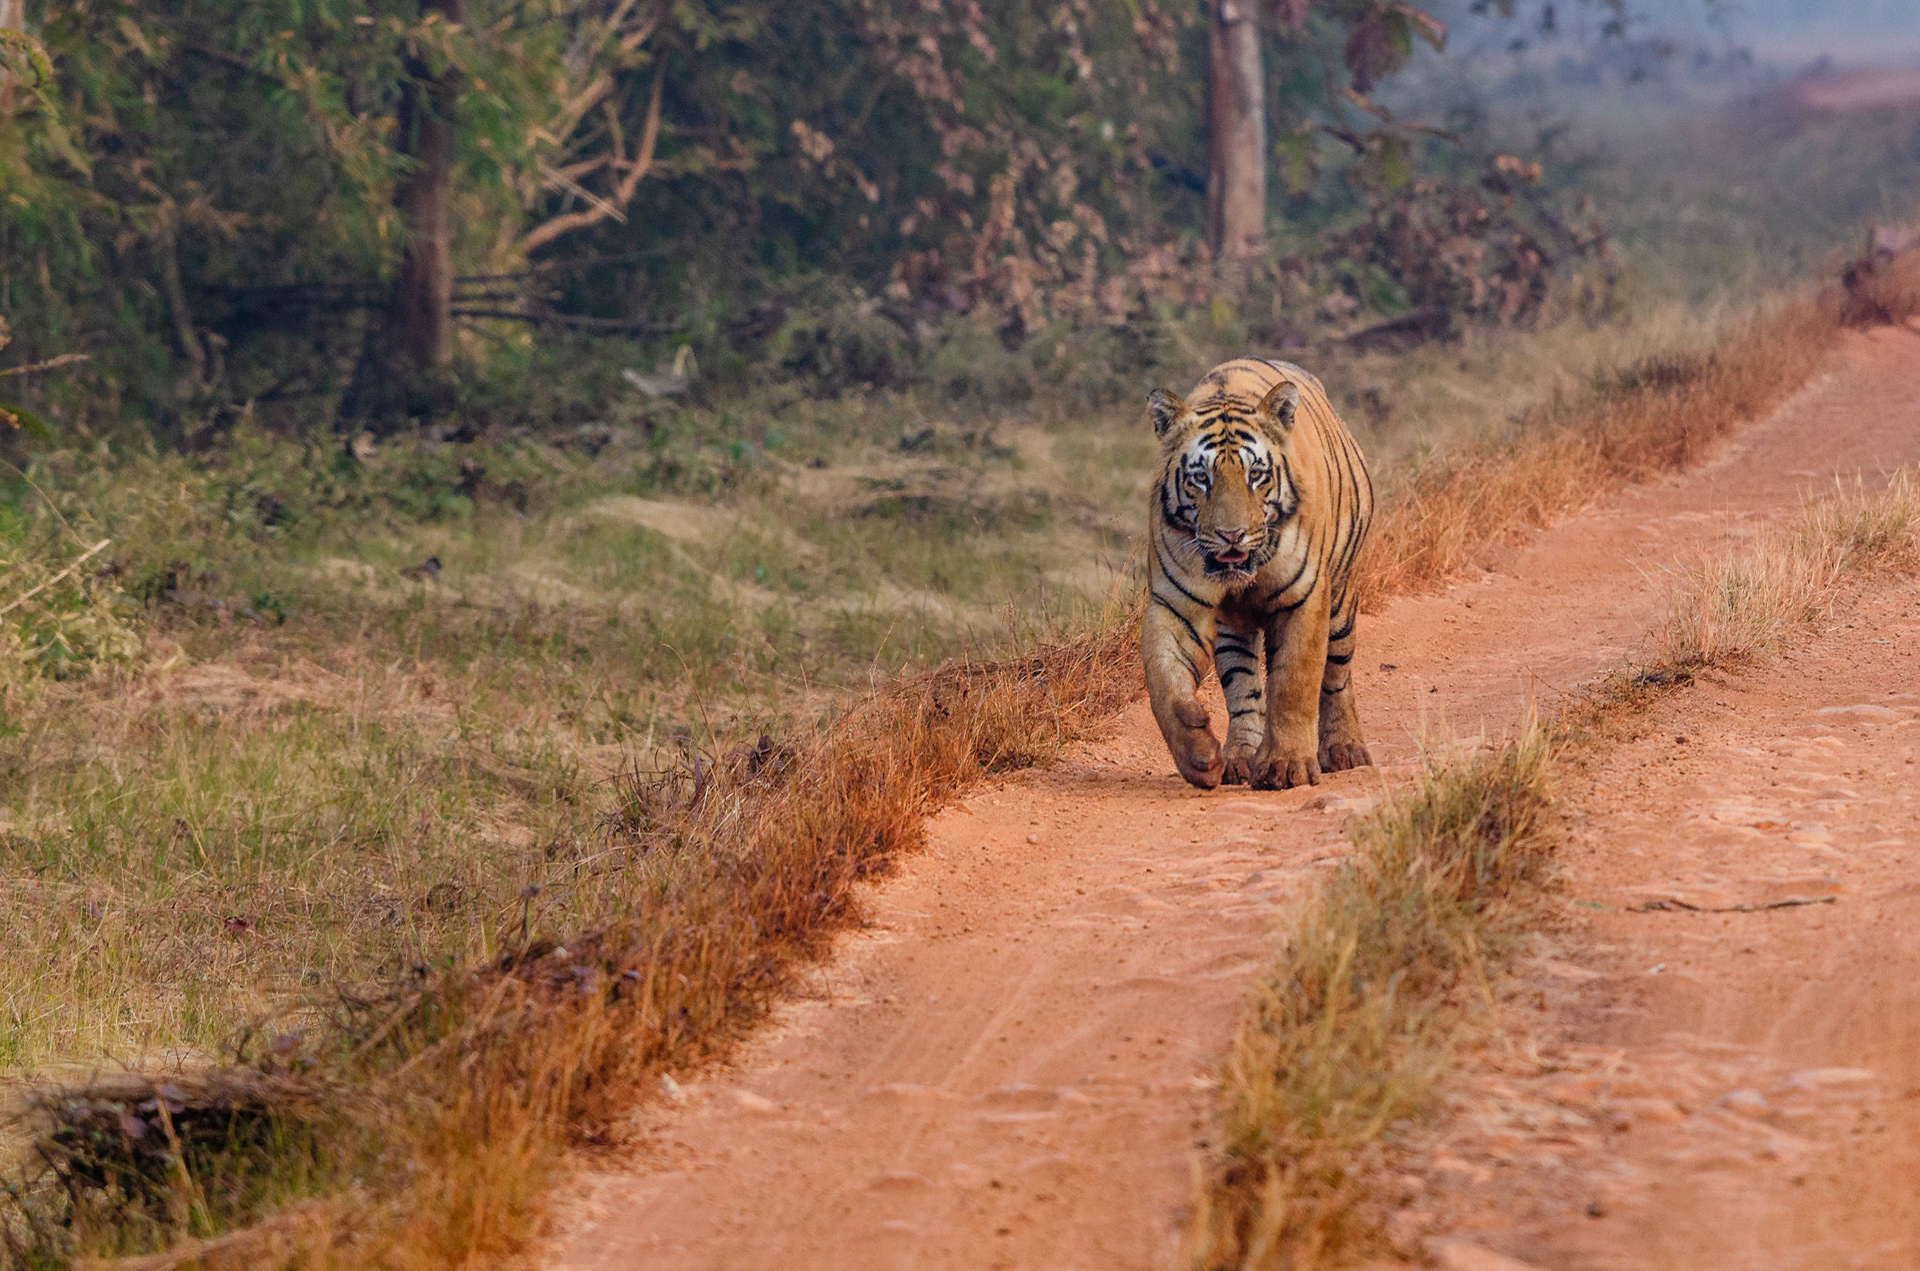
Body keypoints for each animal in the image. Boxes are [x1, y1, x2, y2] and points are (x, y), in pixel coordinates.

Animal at [1142, 357, 1374, 790]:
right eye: (1201, 478)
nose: (1231, 534)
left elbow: (1294, 683)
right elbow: (1164, 681)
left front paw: (1286, 765)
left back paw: (1345, 749)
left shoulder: (1305, 597)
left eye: (1256, 475)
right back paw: (1238, 759)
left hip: (1342, 601)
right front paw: (1198, 754)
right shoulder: (1175, 602)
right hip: (1234, 631)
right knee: (1243, 689)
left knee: (1337, 676)